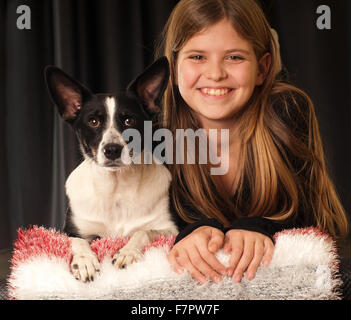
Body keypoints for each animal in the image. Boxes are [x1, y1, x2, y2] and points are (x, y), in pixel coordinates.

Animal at [46, 57, 179, 282]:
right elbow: (77, 241)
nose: (112, 150)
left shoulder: (170, 228)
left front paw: (127, 252)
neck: (115, 189)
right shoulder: (71, 231)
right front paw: (85, 261)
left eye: (129, 120)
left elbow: (143, 232)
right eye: (93, 121)